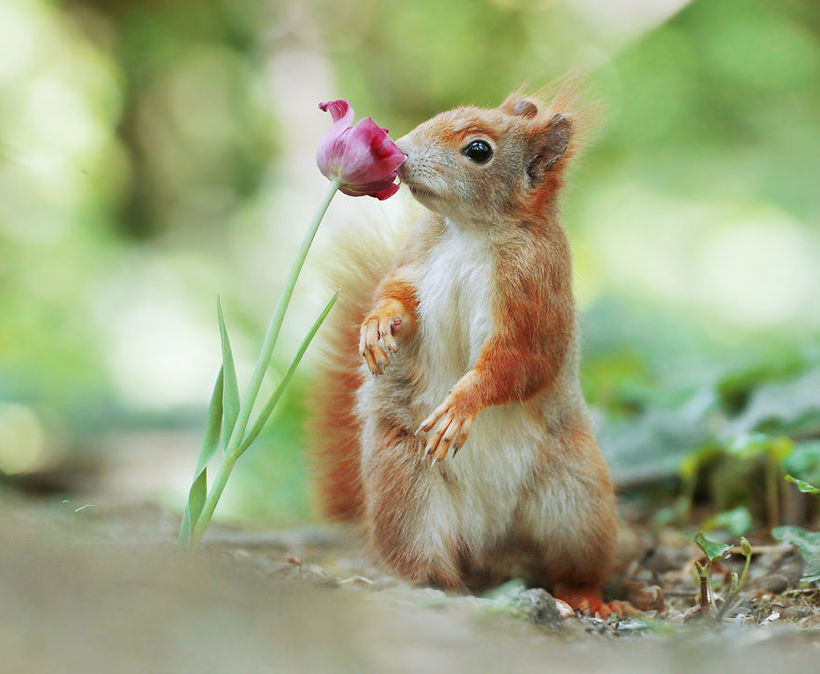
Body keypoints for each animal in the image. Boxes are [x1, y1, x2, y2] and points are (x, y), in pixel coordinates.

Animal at [312, 79, 628, 616]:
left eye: (478, 150)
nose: (399, 151)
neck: (471, 232)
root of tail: (489, 543)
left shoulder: (536, 292)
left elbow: (520, 360)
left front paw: (461, 405)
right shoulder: (418, 259)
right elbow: (396, 297)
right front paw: (375, 327)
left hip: (576, 501)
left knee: (573, 563)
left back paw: (585, 596)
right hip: (407, 495)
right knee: (426, 560)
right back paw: (437, 591)